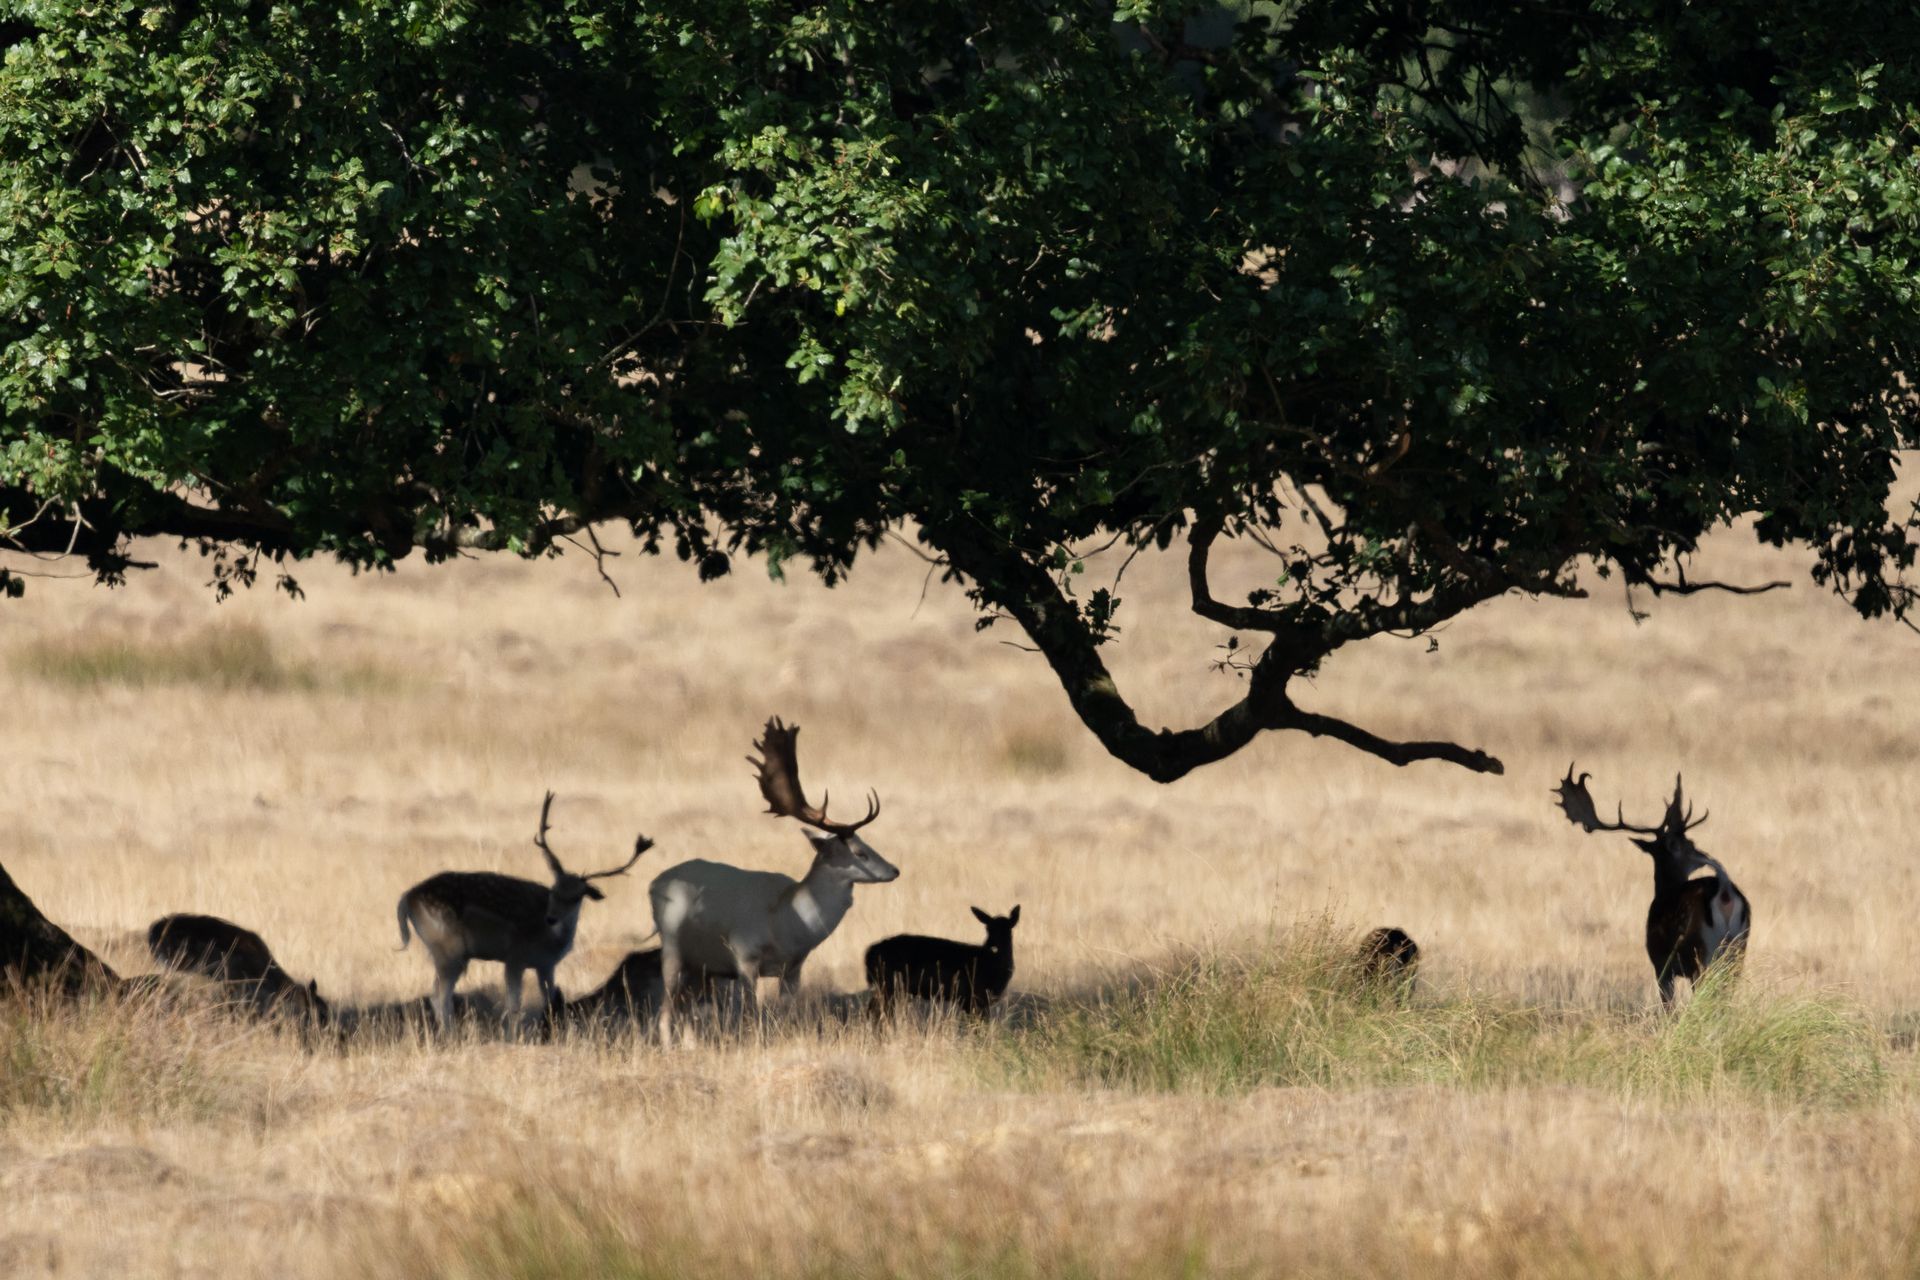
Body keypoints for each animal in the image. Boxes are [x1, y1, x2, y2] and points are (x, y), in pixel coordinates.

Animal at [396, 792, 650, 1031]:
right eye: (554, 889)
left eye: (577, 896)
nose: (551, 918)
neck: (549, 941)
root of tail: (407, 898)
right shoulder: (514, 958)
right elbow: (514, 1005)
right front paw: (514, 1036)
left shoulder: (547, 965)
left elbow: (549, 999)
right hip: (450, 949)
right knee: (439, 996)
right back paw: (451, 1036)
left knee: (436, 993)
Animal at [648, 716, 898, 1045]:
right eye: (860, 852)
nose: (894, 870)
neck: (786, 921)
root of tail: (654, 884)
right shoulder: (744, 955)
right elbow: (750, 1013)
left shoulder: (794, 967)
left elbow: (786, 1013)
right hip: (672, 947)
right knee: (664, 1010)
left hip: (699, 967)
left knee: (684, 1008)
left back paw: (691, 1046)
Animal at [1554, 764, 1752, 1004]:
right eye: (1691, 843)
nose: (1707, 857)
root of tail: (1724, 891)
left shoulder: (1660, 964)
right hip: (1738, 950)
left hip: (1702, 953)